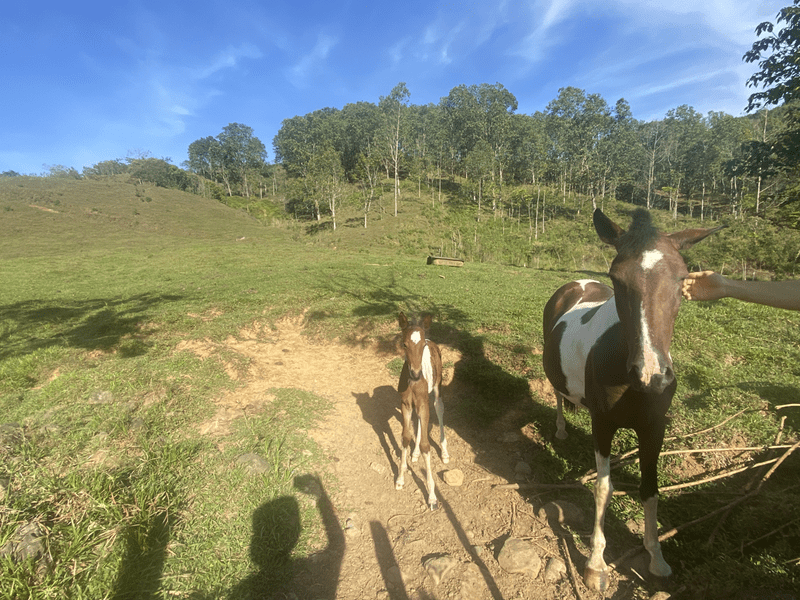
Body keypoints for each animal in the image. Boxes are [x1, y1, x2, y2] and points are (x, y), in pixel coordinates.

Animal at [395, 312, 447, 511]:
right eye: (404, 344)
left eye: (422, 345)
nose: (416, 374)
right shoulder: (405, 404)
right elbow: (405, 437)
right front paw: (400, 479)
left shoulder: (424, 404)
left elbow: (426, 445)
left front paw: (432, 496)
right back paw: (415, 453)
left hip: (437, 387)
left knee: (439, 408)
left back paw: (445, 452)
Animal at [542, 208, 724, 592]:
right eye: (616, 277)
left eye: (682, 277)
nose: (652, 374)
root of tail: (576, 284)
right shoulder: (603, 424)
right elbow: (603, 488)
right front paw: (595, 564)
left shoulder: (653, 429)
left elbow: (650, 490)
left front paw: (656, 559)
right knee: (558, 394)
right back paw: (562, 429)